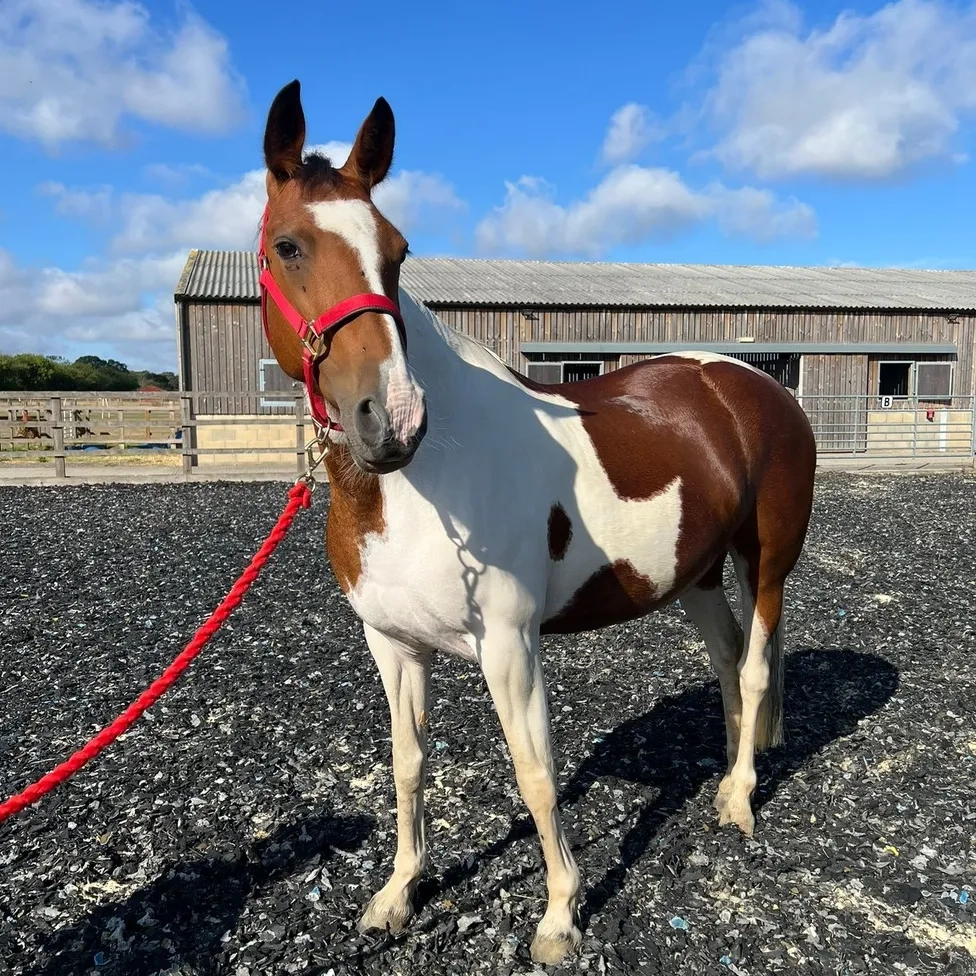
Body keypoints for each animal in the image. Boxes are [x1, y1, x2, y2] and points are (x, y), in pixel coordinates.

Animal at [257, 79, 817, 965]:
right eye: (288, 246)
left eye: (399, 250)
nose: (392, 418)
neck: (422, 482)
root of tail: (757, 386)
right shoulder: (393, 646)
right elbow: (408, 765)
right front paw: (397, 896)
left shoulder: (510, 646)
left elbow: (536, 773)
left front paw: (559, 917)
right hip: (693, 574)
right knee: (731, 659)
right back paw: (730, 764)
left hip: (767, 560)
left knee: (759, 665)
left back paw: (738, 798)